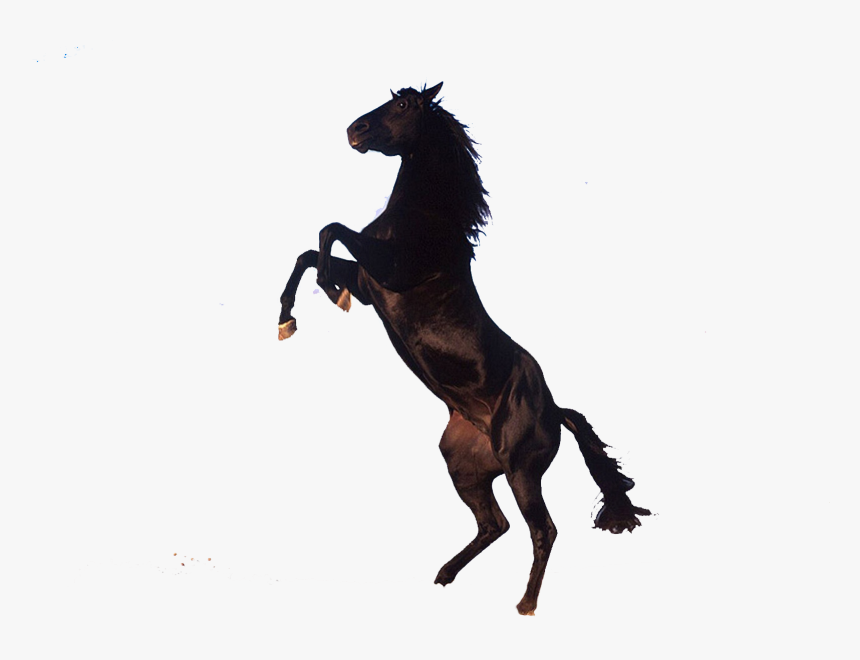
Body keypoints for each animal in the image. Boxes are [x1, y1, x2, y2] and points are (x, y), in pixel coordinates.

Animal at [277, 82, 650, 615]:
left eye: (404, 105)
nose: (354, 130)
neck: (424, 221)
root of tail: (556, 410)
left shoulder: (388, 272)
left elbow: (330, 231)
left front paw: (329, 291)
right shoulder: (372, 285)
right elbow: (309, 251)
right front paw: (287, 319)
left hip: (520, 469)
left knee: (542, 529)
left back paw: (525, 604)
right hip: (464, 466)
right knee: (495, 524)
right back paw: (444, 575)